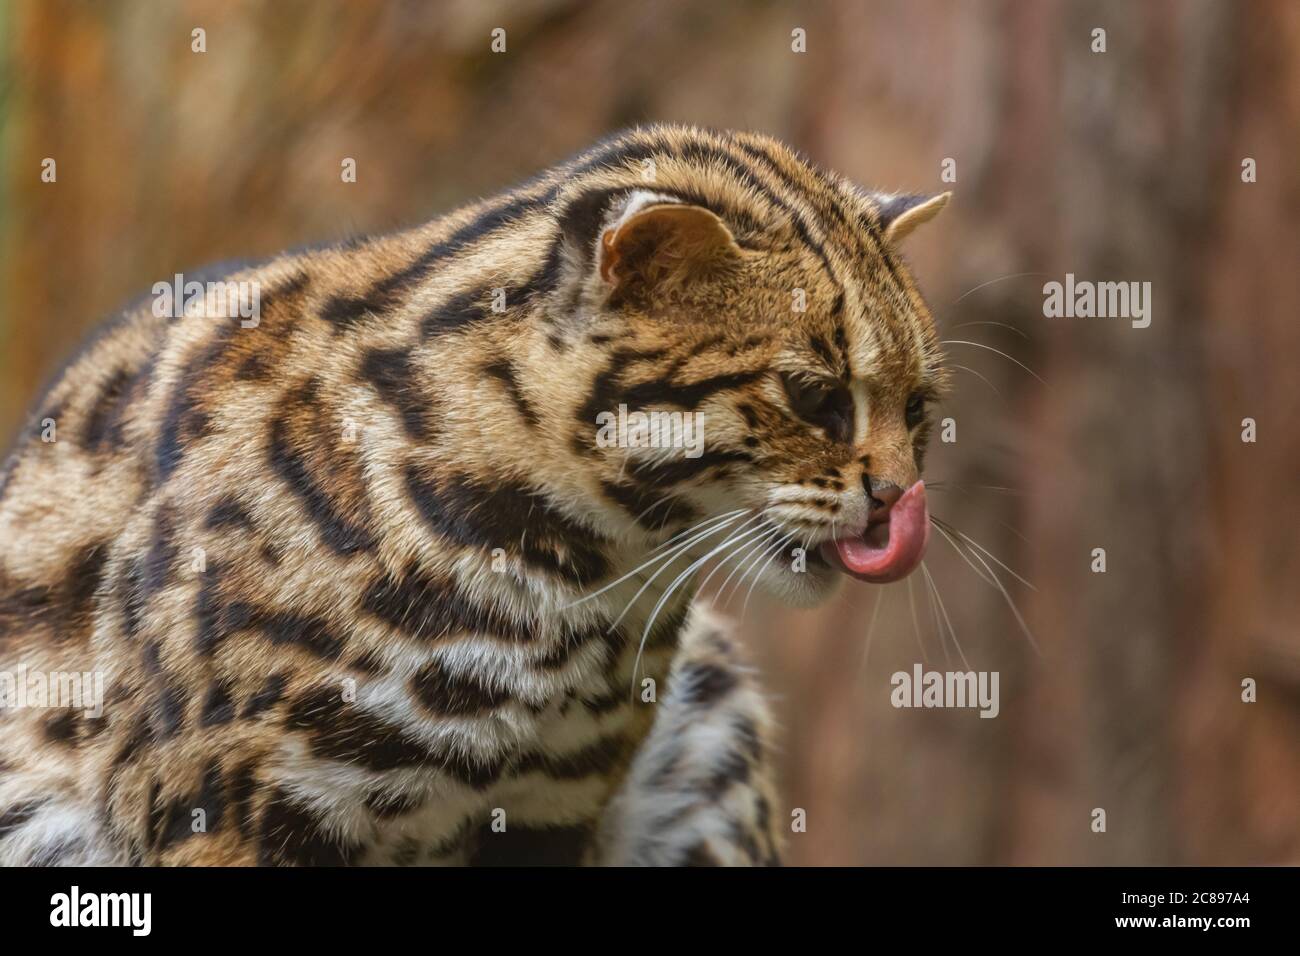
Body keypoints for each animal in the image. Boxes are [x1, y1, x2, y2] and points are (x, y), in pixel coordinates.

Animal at [2, 127, 956, 868]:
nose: (900, 498)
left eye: (918, 409)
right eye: (813, 395)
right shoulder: (223, 808)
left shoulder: (554, 809)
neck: (575, 583)